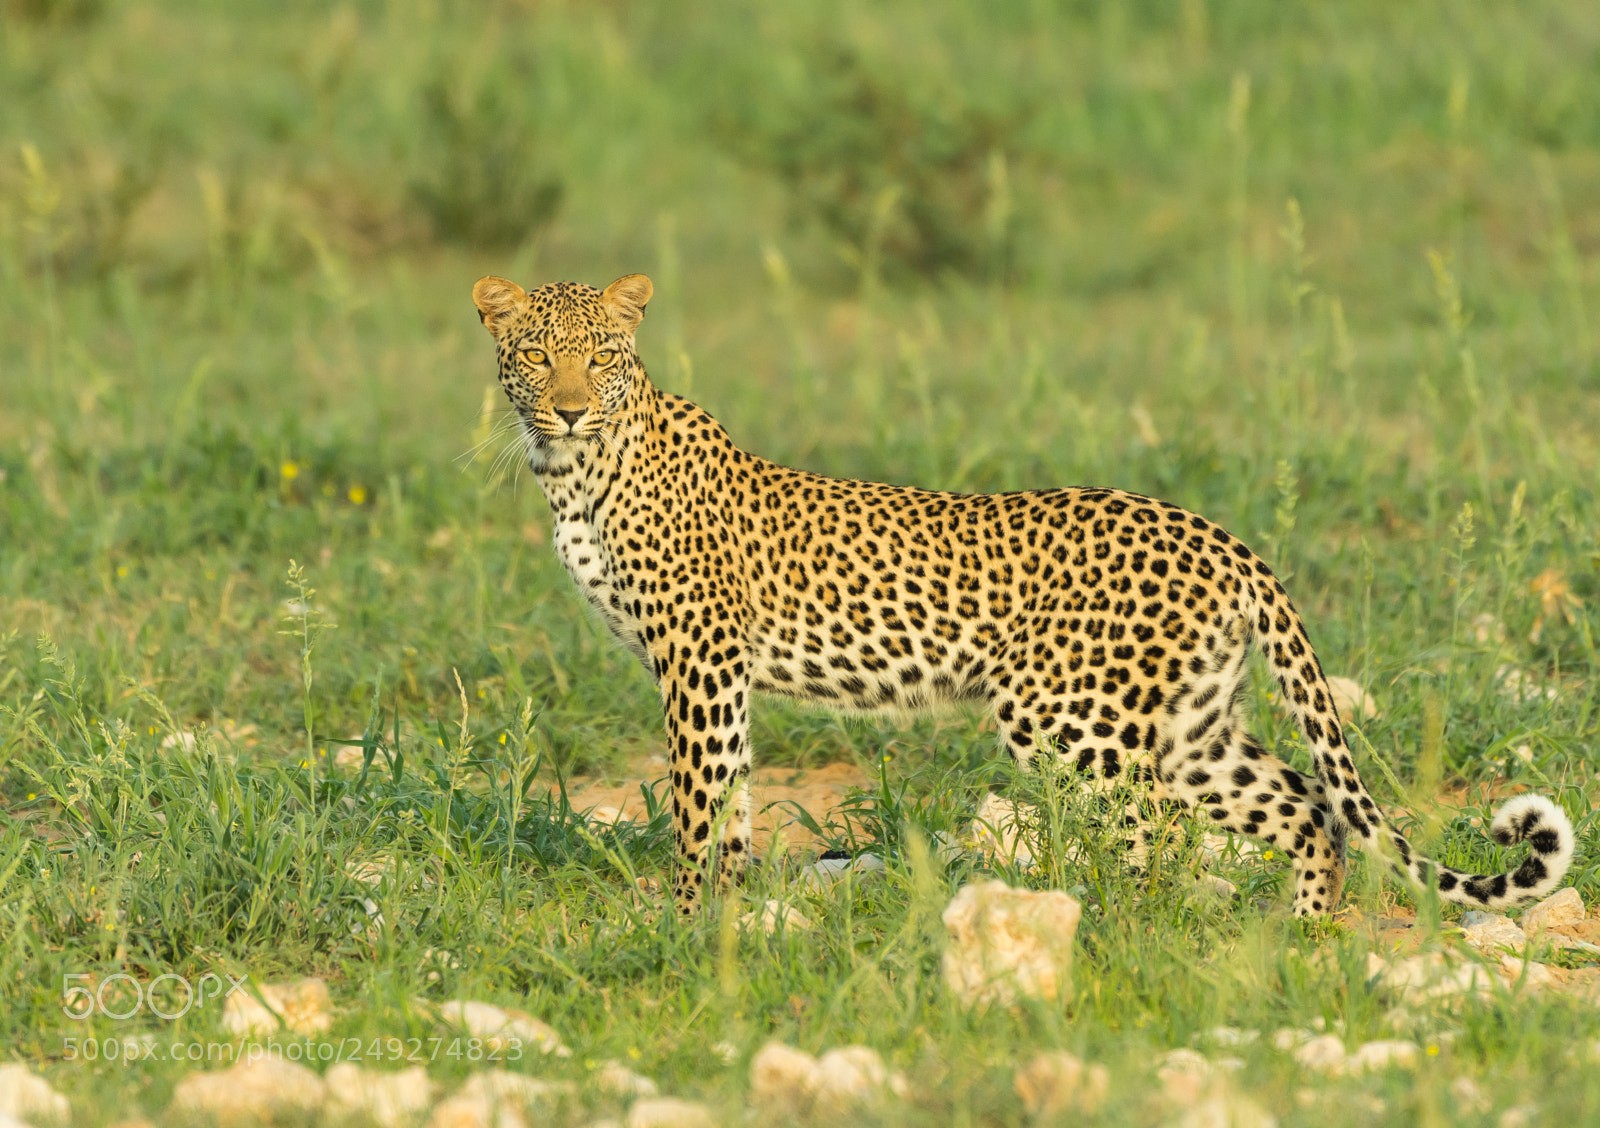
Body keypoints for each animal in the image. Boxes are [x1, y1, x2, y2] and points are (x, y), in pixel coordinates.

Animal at [471, 271, 1576, 918]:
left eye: (600, 356)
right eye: (535, 355)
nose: (567, 408)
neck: (575, 471)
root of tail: (1225, 539)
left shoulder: (698, 658)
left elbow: (700, 799)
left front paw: (688, 920)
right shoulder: (719, 672)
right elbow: (730, 792)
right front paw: (731, 918)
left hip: (1070, 718)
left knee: (1149, 836)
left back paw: (1127, 944)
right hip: (1192, 726)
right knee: (1305, 806)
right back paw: (1296, 942)